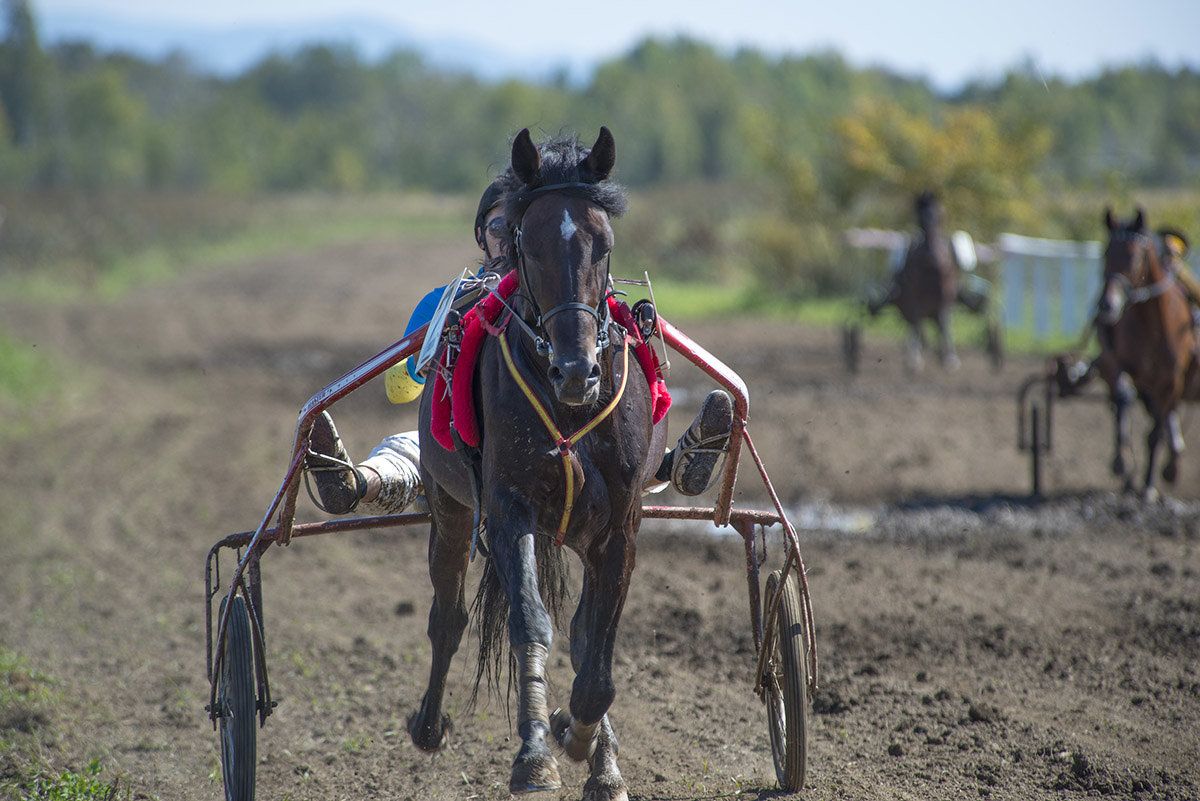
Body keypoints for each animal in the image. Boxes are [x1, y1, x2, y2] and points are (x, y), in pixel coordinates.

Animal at [408, 126, 662, 801]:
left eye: (604, 242)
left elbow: (597, 661)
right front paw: (536, 753)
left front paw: (583, 741)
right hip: (449, 509)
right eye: (530, 242)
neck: (570, 410)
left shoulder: (619, 527)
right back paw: (429, 724)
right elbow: (531, 623)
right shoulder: (508, 510)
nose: (577, 370)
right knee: (448, 617)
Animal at [868, 190, 960, 371]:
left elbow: (944, 325)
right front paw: (915, 359)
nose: (931, 251)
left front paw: (948, 358)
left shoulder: (944, 296)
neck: (930, 265)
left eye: (938, 214)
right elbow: (916, 324)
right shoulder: (913, 296)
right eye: (920, 216)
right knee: (915, 324)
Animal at [1099, 208, 1200, 501]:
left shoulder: (1172, 380)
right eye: (1105, 253)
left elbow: (1155, 433)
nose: (1107, 305)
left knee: (1165, 417)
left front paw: (1149, 485)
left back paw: (1169, 465)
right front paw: (1121, 461)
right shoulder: (1121, 365)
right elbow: (1123, 397)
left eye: (1134, 255)